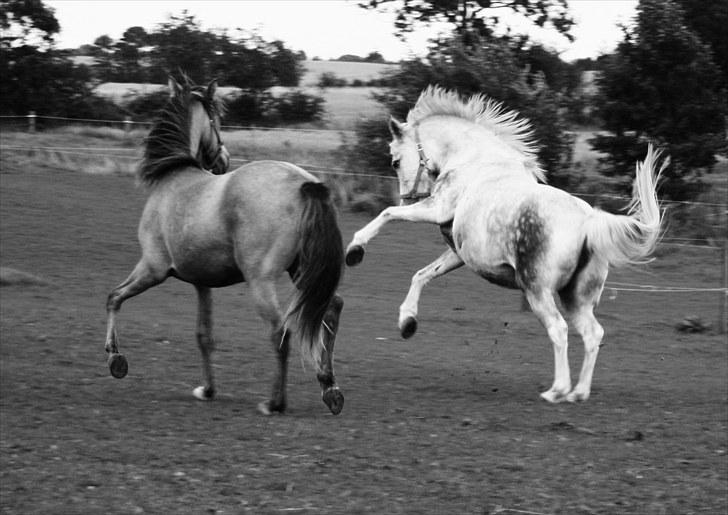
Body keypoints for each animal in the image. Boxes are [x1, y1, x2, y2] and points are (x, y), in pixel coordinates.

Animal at [104, 75, 345, 415]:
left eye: (216, 118)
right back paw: (330, 387)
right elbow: (204, 335)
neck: (174, 177)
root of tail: (304, 184)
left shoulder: (152, 268)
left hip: (260, 281)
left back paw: (275, 403)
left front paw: (116, 359)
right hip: (303, 272)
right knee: (331, 307)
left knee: (280, 331)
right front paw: (207, 389)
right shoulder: (201, 283)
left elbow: (114, 298)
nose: (223, 159)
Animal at [345, 86, 665, 403]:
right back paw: (578, 393)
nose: (407, 198)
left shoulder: (435, 208)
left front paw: (354, 251)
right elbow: (422, 275)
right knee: (592, 334)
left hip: (538, 291)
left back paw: (557, 391)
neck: (472, 160)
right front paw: (407, 322)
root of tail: (588, 221)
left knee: (559, 330)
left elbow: (387, 214)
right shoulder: (459, 253)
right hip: (575, 298)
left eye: (395, 161)